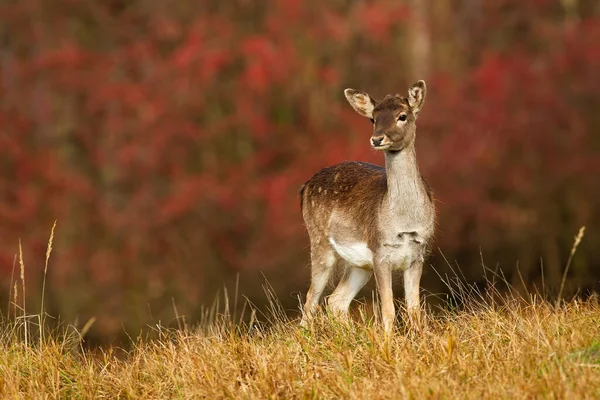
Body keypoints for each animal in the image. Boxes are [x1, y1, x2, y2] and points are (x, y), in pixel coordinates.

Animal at [298, 80, 434, 332]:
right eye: (373, 118)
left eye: (402, 116)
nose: (377, 139)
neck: (404, 223)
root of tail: (304, 188)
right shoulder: (380, 251)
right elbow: (388, 311)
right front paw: (388, 341)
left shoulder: (418, 254)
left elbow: (415, 311)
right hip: (320, 242)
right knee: (311, 300)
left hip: (359, 264)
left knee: (336, 300)